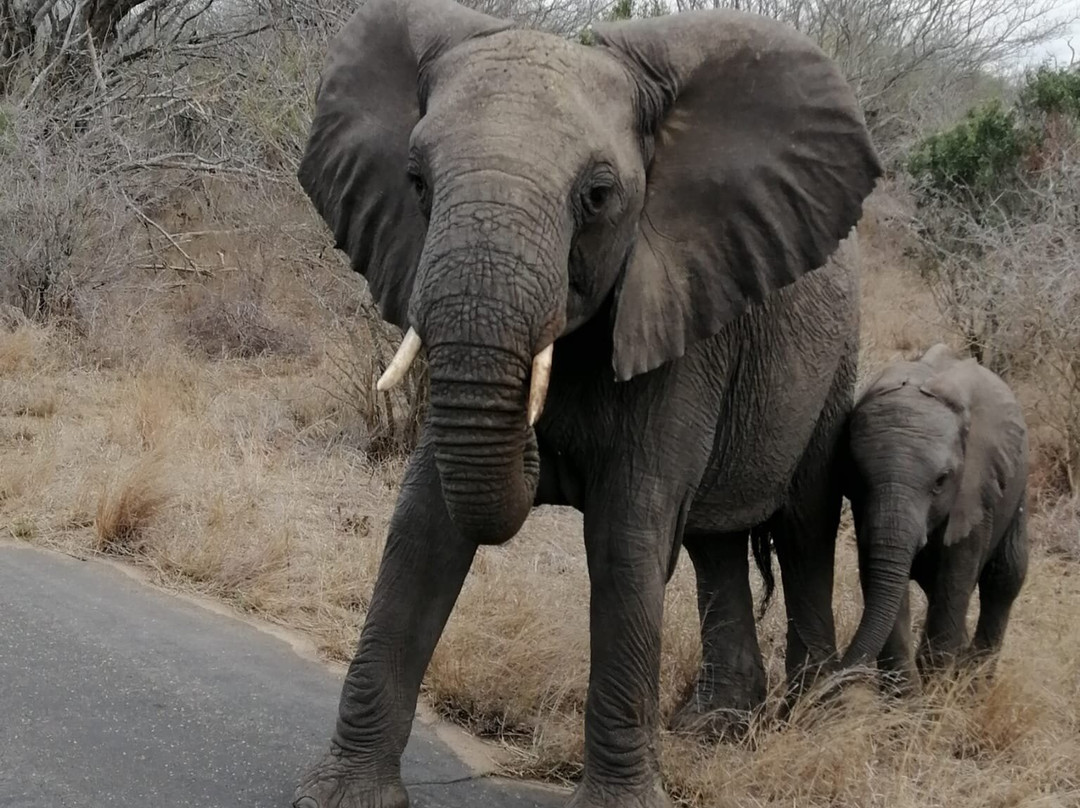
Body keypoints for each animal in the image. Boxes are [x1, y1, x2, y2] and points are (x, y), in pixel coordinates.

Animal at [293, 3, 876, 803]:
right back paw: (716, 729)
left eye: (598, 197)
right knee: (715, 546)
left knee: (804, 526)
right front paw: (343, 794)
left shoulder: (678, 316)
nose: (542, 448)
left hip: (834, 365)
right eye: (415, 180)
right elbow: (424, 524)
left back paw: (810, 720)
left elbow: (628, 536)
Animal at [842, 341, 1028, 687]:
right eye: (858, 477)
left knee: (1005, 577)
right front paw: (908, 698)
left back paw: (975, 684)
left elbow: (954, 581)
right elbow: (882, 581)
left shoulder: (974, 488)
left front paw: (935, 694)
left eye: (941, 482)